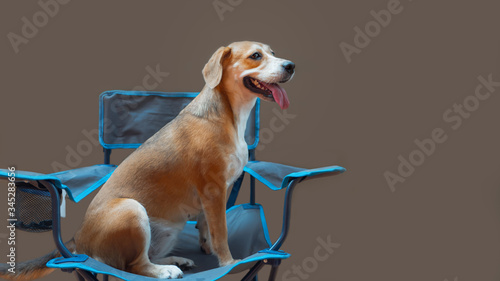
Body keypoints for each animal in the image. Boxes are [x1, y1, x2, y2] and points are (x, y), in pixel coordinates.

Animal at [0, 40, 294, 278]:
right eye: (255, 55)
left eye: (273, 53)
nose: (291, 65)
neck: (229, 115)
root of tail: (77, 240)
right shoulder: (214, 191)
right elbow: (220, 234)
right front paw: (228, 263)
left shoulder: (214, 195)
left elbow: (205, 227)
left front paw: (206, 246)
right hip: (132, 209)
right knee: (135, 266)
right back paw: (166, 270)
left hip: (169, 228)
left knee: (145, 258)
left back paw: (174, 260)